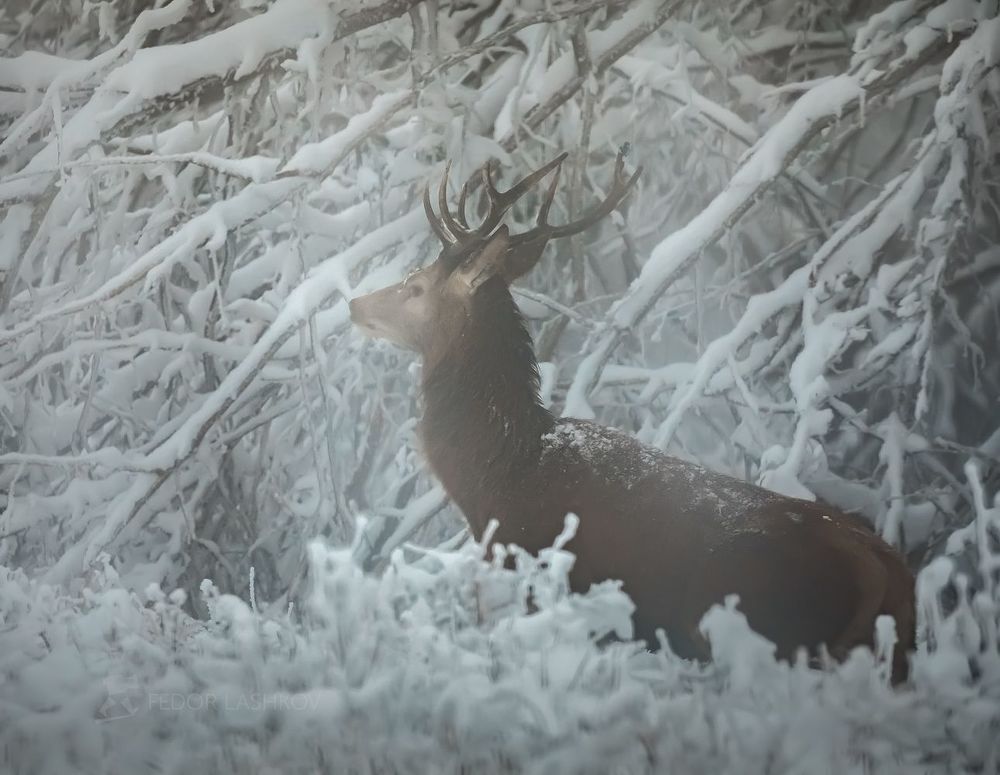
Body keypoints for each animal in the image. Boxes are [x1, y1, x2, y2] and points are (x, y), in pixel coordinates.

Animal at [349, 151, 916, 683]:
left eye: (417, 286)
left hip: (754, 621)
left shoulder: (533, 572)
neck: (496, 474)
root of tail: (887, 572)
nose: (356, 303)